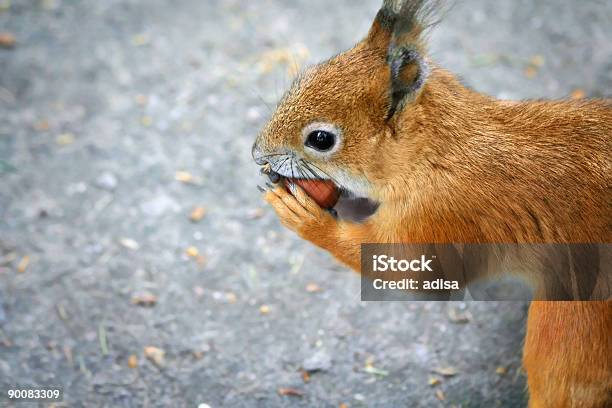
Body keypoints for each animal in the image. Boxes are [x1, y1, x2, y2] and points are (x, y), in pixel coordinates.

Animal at [250, 1, 612, 406]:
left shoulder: (442, 214)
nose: (257, 155)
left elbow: (409, 267)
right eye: (307, 74)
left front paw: (307, 219)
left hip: (573, 321)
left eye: (321, 139)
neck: (437, 150)